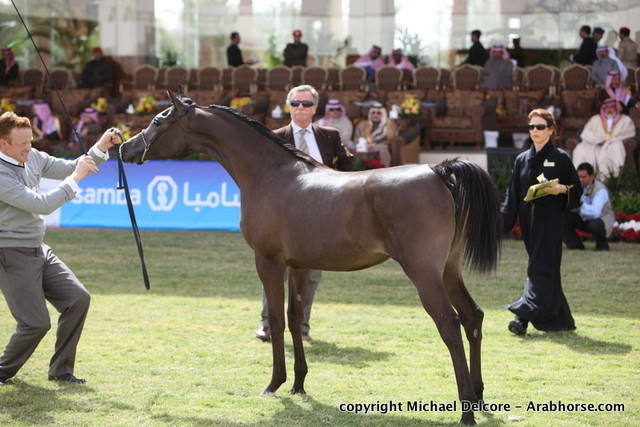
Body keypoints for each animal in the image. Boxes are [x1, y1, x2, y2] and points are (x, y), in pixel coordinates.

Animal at [120, 89, 503, 425]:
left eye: (158, 120)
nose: (125, 147)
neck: (273, 175)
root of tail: (438, 171)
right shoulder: (299, 266)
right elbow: (294, 317)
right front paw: (299, 384)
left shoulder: (268, 262)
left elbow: (275, 320)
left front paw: (274, 383)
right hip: (448, 269)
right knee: (473, 317)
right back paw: (480, 397)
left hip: (424, 273)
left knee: (450, 325)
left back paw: (466, 411)